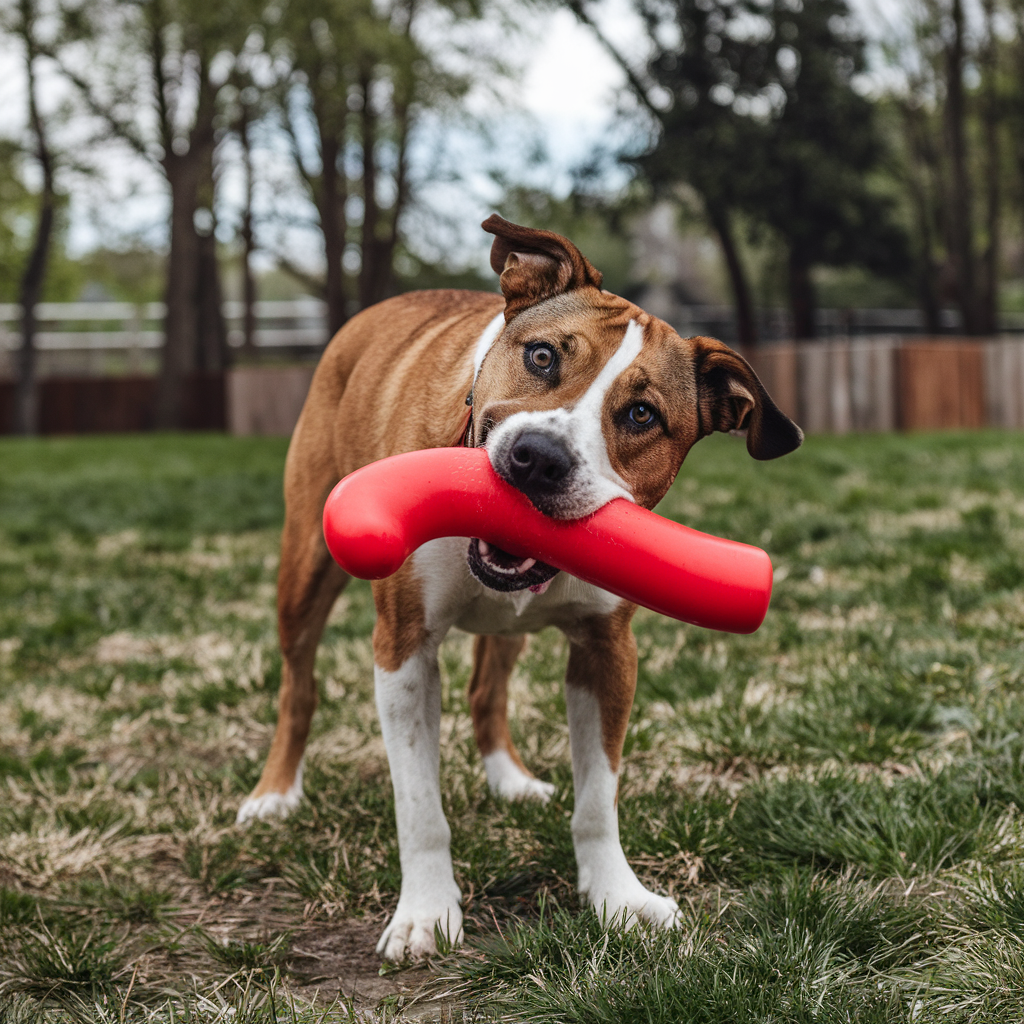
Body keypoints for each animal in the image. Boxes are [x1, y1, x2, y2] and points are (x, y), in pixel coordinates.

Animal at [235, 216, 802, 958]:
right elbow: (420, 806)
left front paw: (617, 898)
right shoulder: (404, 647)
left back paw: (509, 779)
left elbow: (597, 800)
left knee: (488, 687)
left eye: (642, 415)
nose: (539, 458)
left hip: (505, 630)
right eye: (541, 357)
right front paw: (425, 914)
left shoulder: (607, 650)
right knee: (298, 685)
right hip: (304, 566)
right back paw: (275, 794)